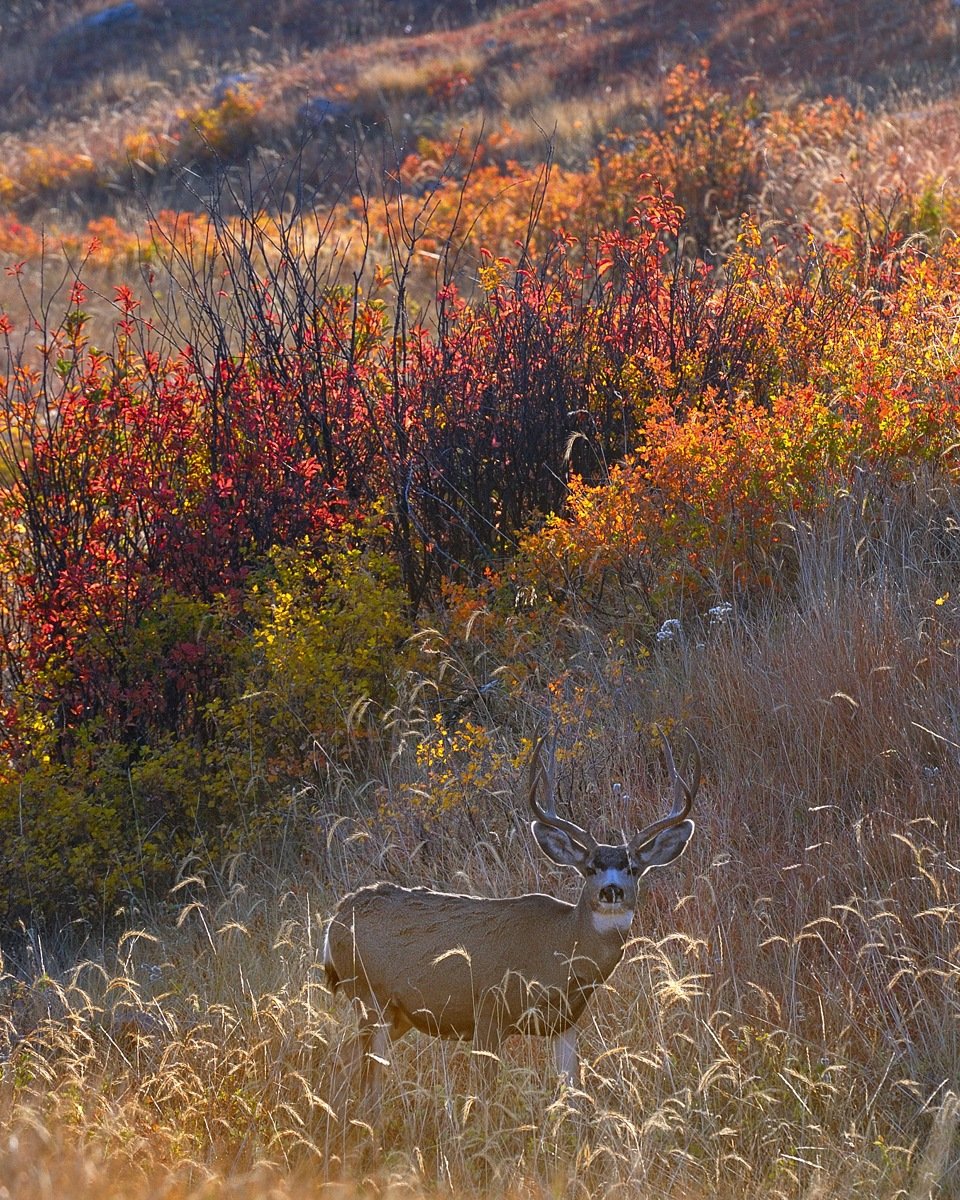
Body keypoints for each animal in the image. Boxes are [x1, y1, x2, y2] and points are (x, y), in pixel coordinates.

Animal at [321, 728, 700, 1112]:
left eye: (633, 868)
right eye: (590, 867)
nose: (611, 890)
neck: (560, 947)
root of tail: (336, 918)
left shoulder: (566, 1022)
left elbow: (572, 1092)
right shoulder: (489, 1009)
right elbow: (484, 1095)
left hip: (396, 1015)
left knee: (341, 1059)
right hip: (371, 997)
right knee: (367, 1082)